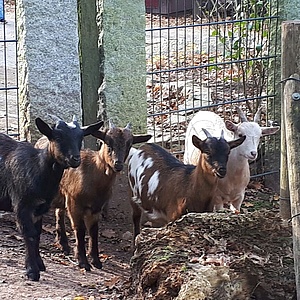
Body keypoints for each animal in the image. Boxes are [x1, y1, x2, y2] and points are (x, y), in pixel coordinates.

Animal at [0, 116, 103, 280]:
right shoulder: (22, 205)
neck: (37, 168)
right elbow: (29, 234)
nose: (75, 158)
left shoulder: (40, 208)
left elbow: (37, 234)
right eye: (58, 137)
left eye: (80, 137)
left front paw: (40, 265)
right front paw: (32, 271)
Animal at [49, 120, 152, 270]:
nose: (118, 164)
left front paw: (96, 260)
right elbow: (80, 230)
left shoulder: (96, 207)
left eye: (129, 145)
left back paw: (64, 245)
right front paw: (83, 261)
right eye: (108, 143)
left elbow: (94, 231)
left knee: (59, 212)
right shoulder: (74, 203)